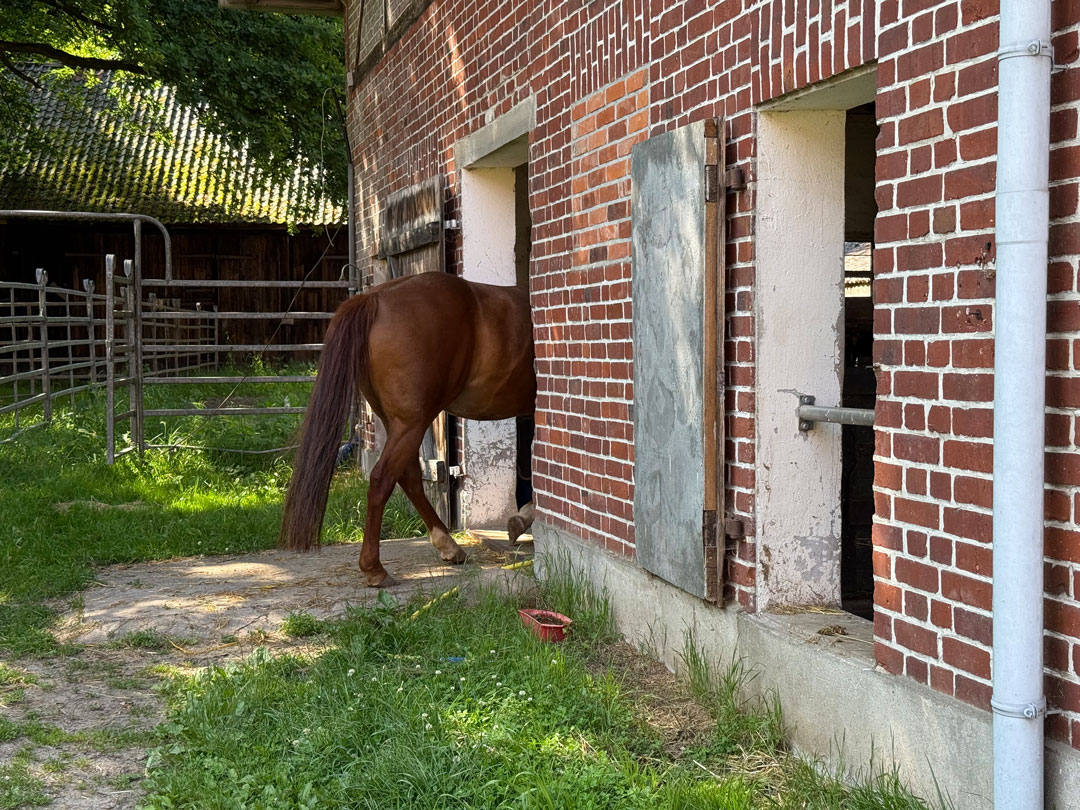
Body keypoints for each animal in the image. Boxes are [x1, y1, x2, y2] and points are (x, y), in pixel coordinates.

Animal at [278, 272, 537, 587]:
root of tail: (373, 298)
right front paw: (523, 520)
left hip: (399, 423)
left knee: (409, 476)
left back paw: (448, 546)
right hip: (412, 422)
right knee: (383, 478)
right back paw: (375, 569)